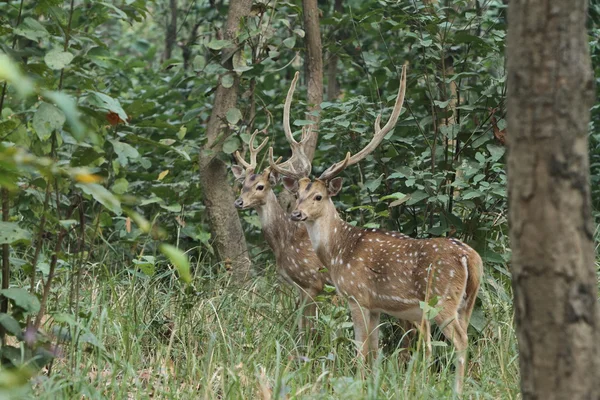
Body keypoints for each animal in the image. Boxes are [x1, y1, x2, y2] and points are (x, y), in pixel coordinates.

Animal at [270, 64, 486, 396]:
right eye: (298, 194)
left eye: (318, 196)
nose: (296, 214)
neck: (337, 252)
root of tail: (469, 256)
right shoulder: (375, 306)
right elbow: (375, 349)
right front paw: (373, 384)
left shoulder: (357, 295)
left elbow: (361, 348)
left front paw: (357, 385)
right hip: (468, 301)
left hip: (441, 299)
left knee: (461, 342)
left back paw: (456, 390)